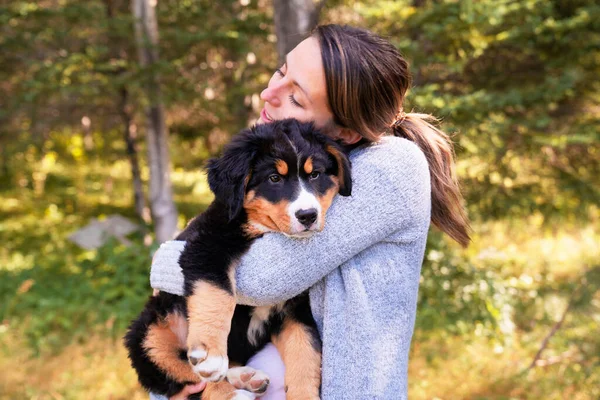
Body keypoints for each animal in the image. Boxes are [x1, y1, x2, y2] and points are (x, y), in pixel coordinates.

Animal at [126, 119, 352, 400]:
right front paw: (211, 354)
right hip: (147, 331)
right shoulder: (205, 248)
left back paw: (246, 377)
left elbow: (305, 352)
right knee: (183, 375)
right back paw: (233, 389)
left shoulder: (295, 306)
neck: (262, 228)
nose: (308, 215)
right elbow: (216, 296)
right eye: (274, 178)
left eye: (315, 175)